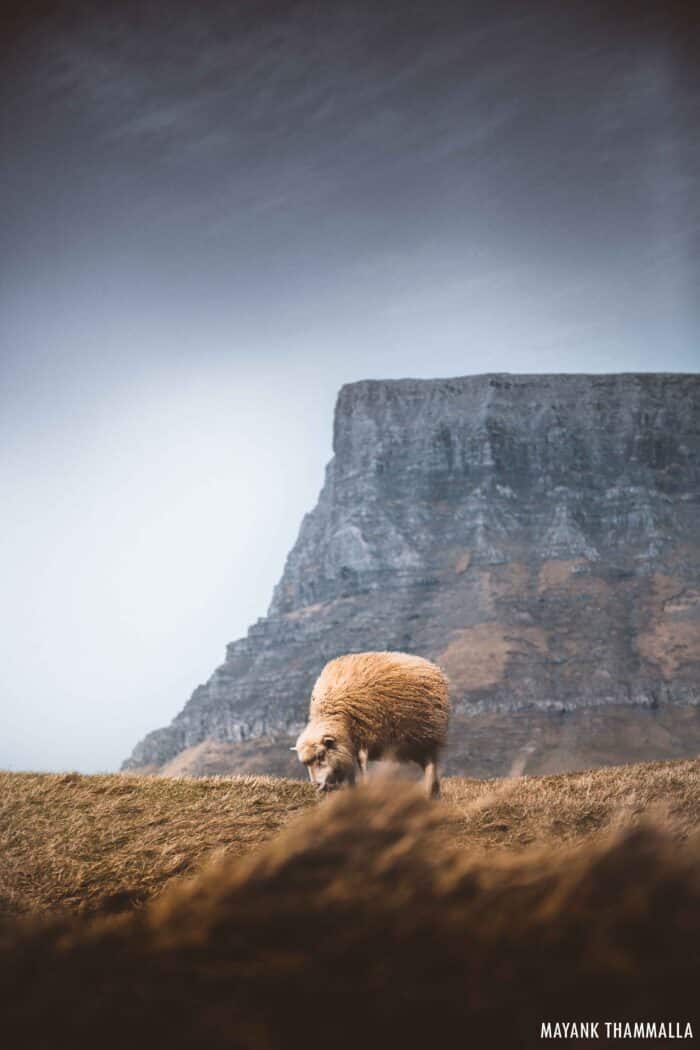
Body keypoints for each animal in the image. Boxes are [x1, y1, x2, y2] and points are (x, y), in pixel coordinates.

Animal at [293, 646, 449, 793]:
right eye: (305, 764)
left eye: (321, 755)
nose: (317, 786)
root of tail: (431, 665)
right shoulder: (348, 743)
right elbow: (350, 768)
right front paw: (352, 788)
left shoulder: (363, 733)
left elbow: (361, 762)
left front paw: (364, 784)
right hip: (413, 745)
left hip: (427, 737)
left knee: (431, 765)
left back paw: (429, 791)